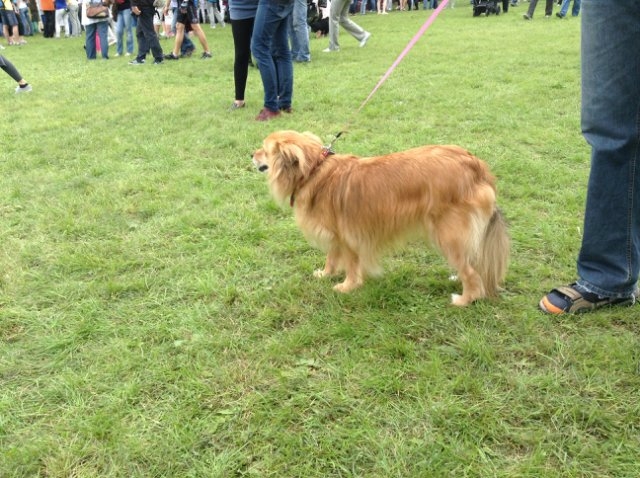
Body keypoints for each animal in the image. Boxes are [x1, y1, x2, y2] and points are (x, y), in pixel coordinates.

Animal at [252, 130, 508, 306]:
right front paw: (326, 274)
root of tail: (475, 164)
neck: (313, 171)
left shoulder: (347, 237)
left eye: (264, 149)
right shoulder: (336, 236)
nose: (250, 154)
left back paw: (465, 299)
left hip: (448, 235)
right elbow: (331, 258)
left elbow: (351, 265)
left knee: (471, 273)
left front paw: (347, 286)